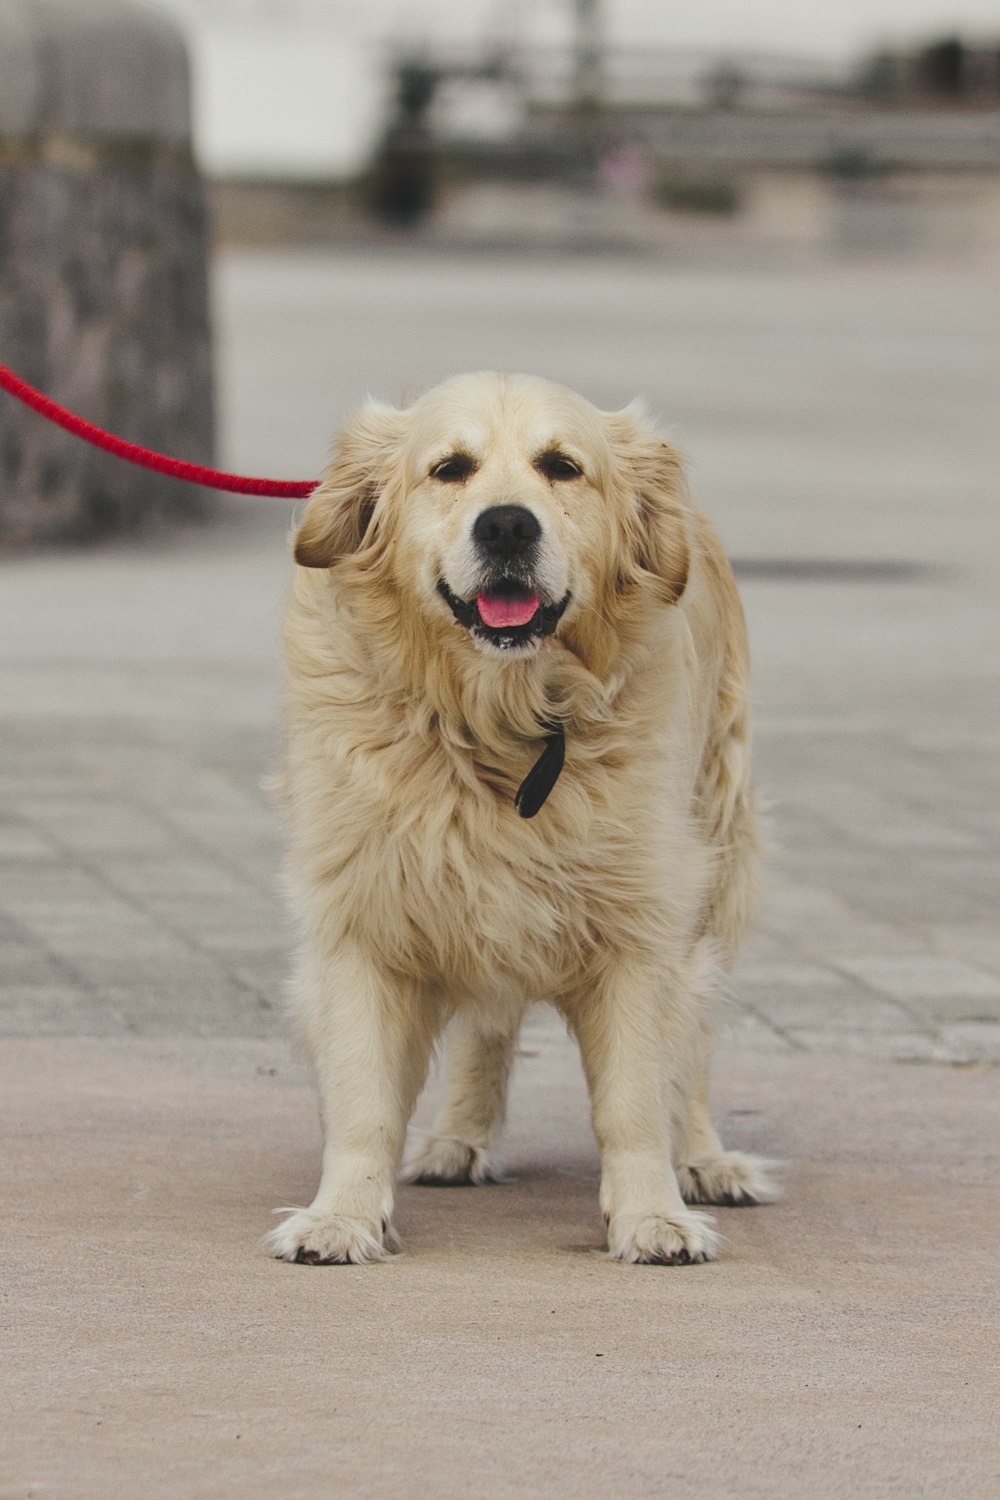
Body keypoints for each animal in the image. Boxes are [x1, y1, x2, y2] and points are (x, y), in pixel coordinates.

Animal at [263, 375, 773, 1266]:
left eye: (562, 466)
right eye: (449, 469)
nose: (506, 524)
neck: (496, 718)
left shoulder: (642, 920)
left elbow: (637, 1096)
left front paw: (653, 1215)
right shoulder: (363, 913)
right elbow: (363, 1097)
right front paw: (343, 1218)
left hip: (716, 857)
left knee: (695, 1045)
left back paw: (705, 1161)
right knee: (488, 1025)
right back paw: (458, 1140)